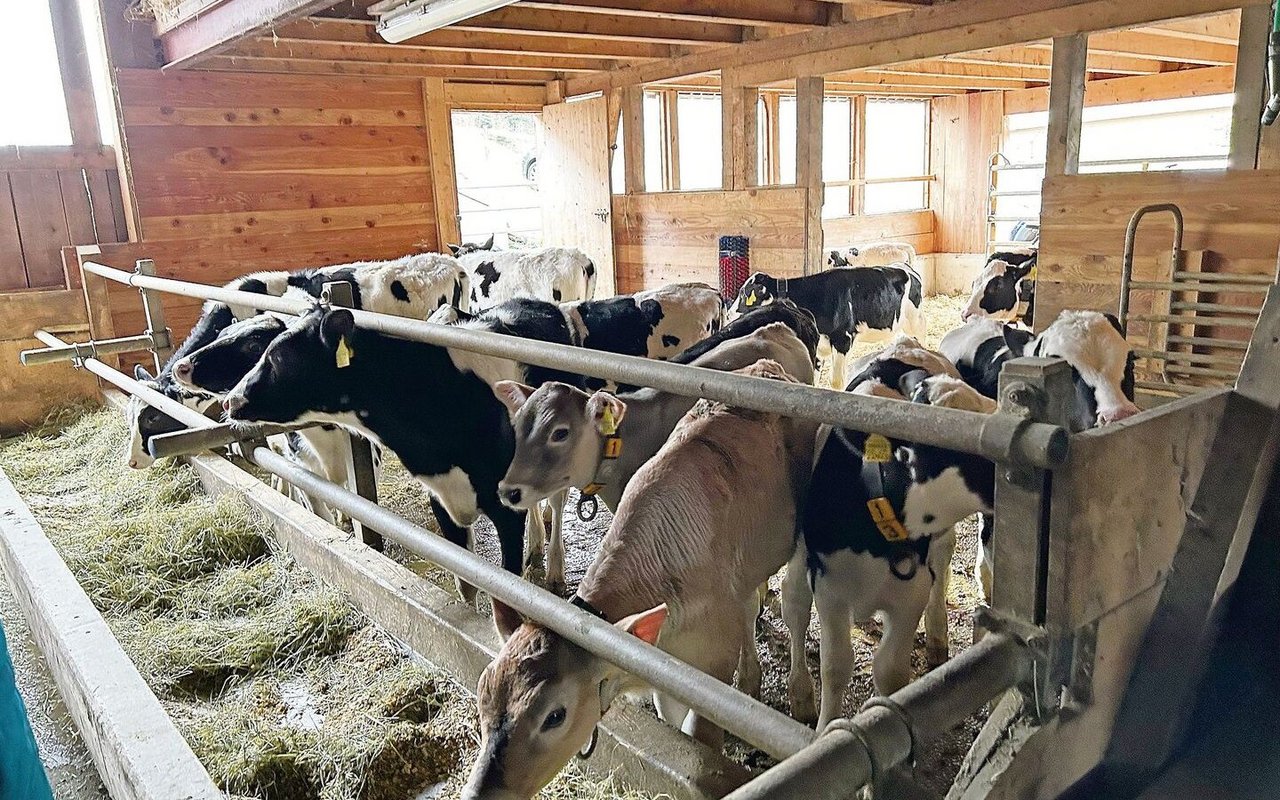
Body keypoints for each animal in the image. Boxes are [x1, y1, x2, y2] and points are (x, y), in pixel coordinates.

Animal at [732, 266, 921, 389]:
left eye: (744, 294)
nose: (729, 314)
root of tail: (906, 268)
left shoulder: (842, 339)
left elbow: (837, 382)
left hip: (915, 321)